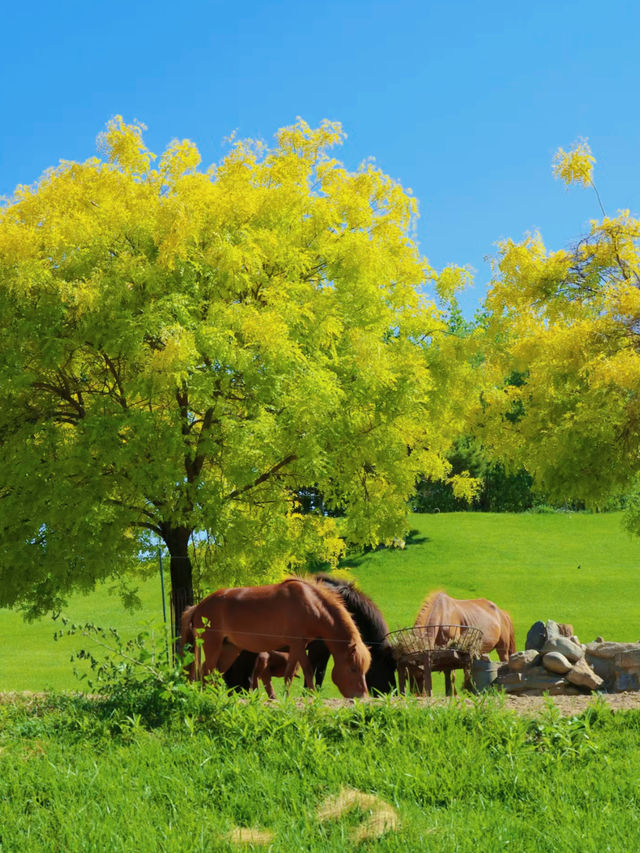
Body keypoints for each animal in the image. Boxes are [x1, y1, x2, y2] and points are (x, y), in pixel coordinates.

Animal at [180, 580, 370, 700]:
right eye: (353, 668)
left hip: (230, 649)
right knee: (206, 671)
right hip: (213, 646)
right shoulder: (298, 645)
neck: (310, 604)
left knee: (215, 673)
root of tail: (199, 606)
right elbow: (308, 670)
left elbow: (289, 674)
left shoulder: (296, 647)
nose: (362, 697)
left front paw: (286, 697)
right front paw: (311, 695)